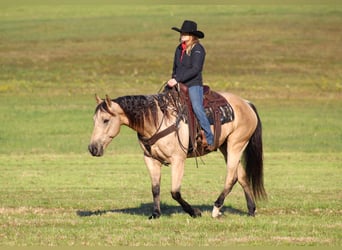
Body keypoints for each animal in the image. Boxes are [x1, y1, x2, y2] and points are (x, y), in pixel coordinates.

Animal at [87, 84, 266, 219]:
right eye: (94, 120)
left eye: (106, 120)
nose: (92, 148)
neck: (157, 120)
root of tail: (246, 103)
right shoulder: (150, 159)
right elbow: (155, 188)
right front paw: (156, 214)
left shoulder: (178, 159)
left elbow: (175, 192)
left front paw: (195, 212)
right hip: (225, 147)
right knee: (241, 176)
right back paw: (251, 209)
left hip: (236, 144)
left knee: (231, 177)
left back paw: (216, 209)